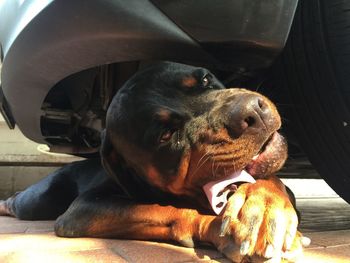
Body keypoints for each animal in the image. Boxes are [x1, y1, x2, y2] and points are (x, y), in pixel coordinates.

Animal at [0, 62, 306, 263]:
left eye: (206, 80)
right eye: (166, 134)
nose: (253, 111)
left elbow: (270, 180)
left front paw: (262, 207)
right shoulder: (83, 210)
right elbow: (163, 210)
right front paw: (220, 227)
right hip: (40, 198)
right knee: (20, 202)